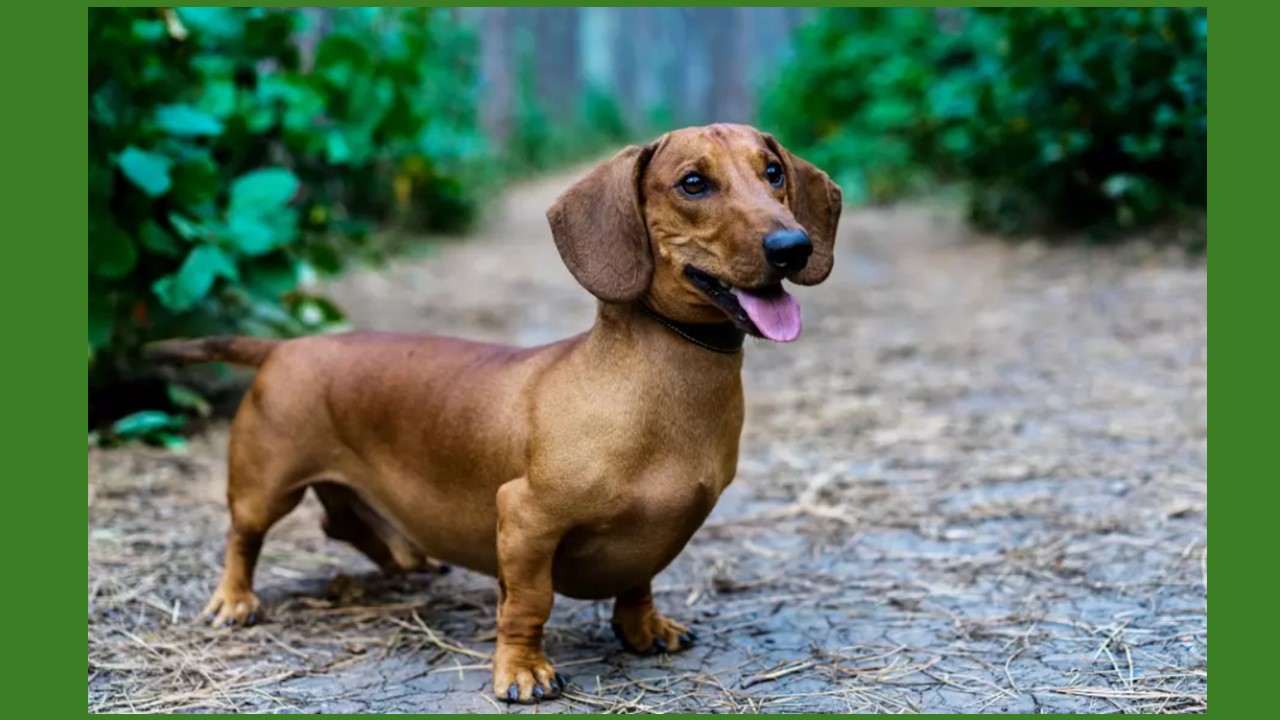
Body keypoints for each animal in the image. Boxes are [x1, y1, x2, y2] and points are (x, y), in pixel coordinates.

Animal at [147, 122, 839, 702]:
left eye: (773, 172)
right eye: (693, 182)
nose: (793, 245)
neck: (653, 383)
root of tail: (285, 346)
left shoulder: (656, 537)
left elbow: (638, 581)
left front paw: (646, 628)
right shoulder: (525, 518)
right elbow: (527, 605)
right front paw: (523, 672)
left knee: (339, 522)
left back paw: (405, 558)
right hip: (265, 485)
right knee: (244, 536)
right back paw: (234, 601)